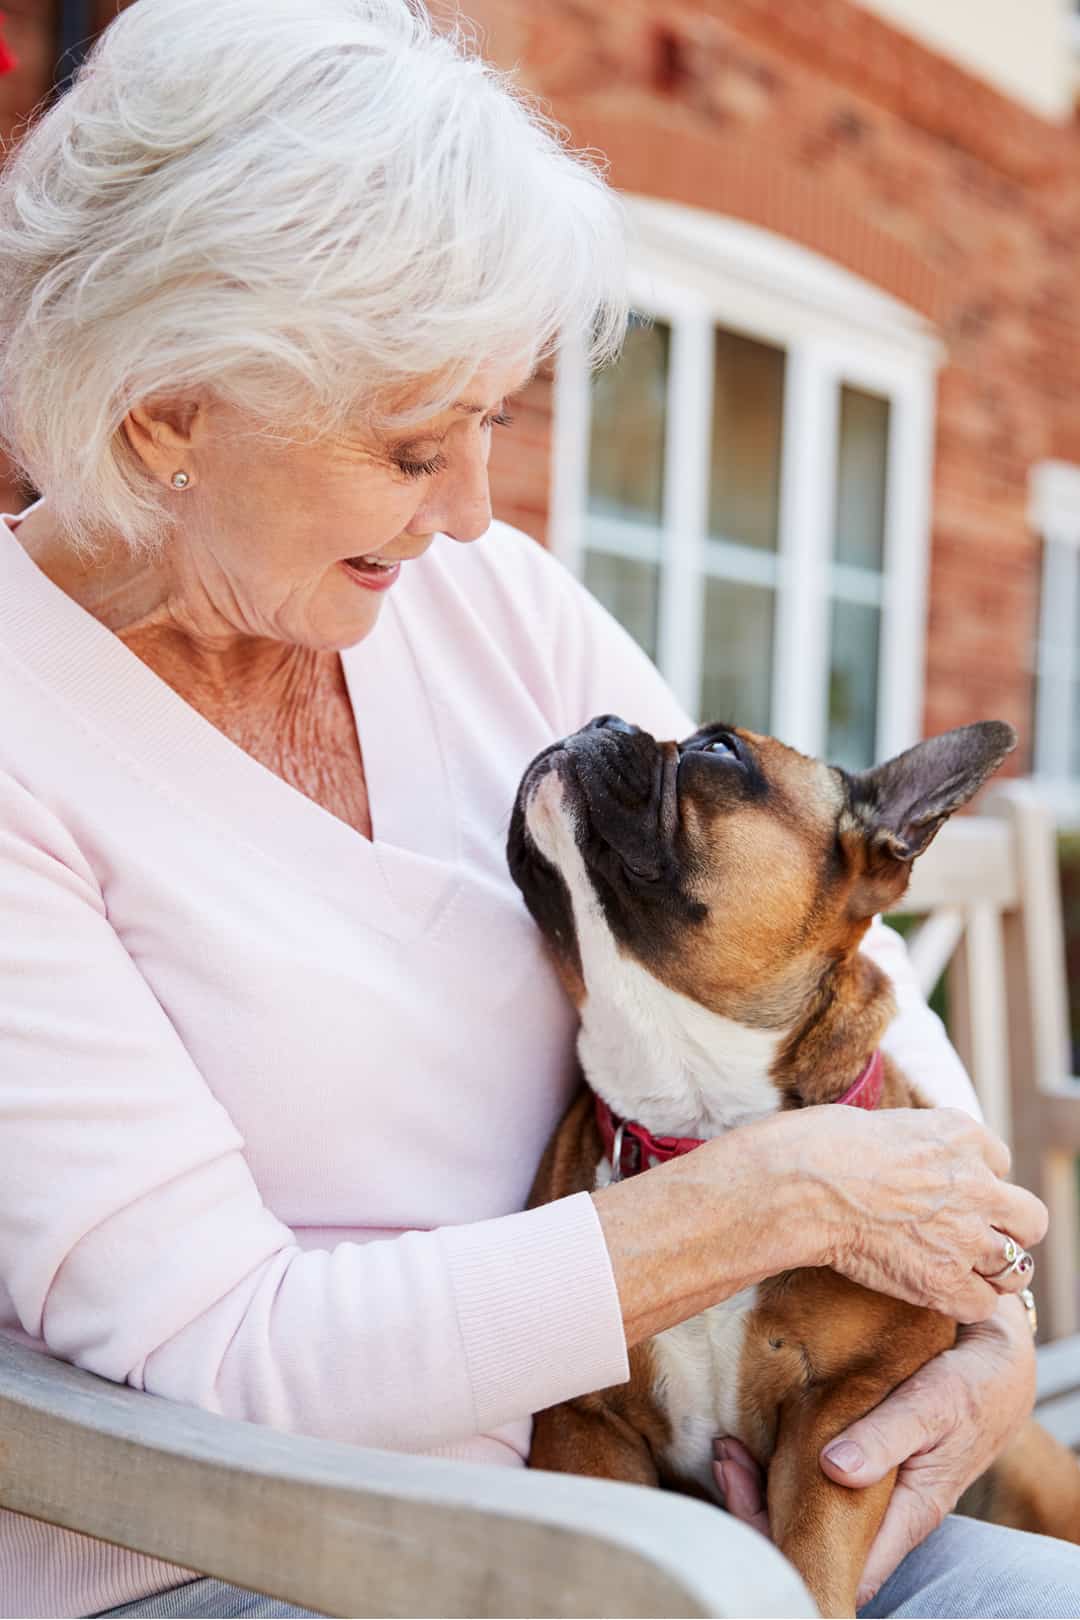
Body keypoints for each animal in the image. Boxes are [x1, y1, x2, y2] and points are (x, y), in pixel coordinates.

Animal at [508, 716, 1080, 1620]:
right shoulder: (583, 1427)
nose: (598, 722)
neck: (698, 1123)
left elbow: (813, 1561)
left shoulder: (844, 1414)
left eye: (717, 749)